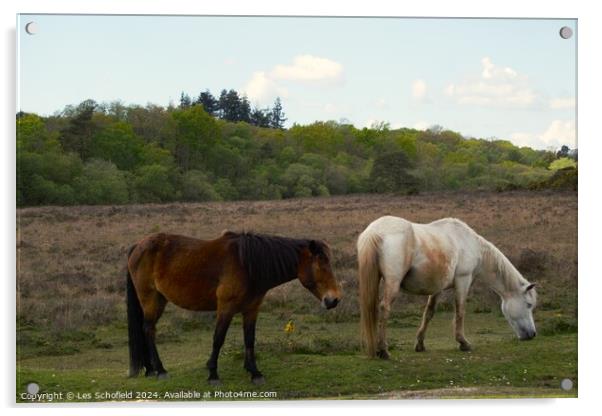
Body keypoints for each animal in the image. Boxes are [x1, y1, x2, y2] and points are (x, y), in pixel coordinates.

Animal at [124, 229, 340, 386]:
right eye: (321, 264)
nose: (334, 300)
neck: (247, 265)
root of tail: (138, 246)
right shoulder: (226, 309)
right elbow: (218, 339)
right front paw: (213, 374)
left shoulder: (251, 309)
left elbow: (250, 339)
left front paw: (254, 372)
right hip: (150, 299)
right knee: (148, 329)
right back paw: (160, 370)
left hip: (159, 300)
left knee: (146, 329)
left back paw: (150, 370)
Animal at [356, 216, 536, 360]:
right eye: (528, 305)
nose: (532, 334)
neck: (470, 243)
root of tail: (374, 231)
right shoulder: (463, 280)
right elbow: (460, 311)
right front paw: (463, 343)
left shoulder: (437, 288)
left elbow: (429, 313)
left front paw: (420, 344)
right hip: (392, 283)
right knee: (384, 308)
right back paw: (383, 351)